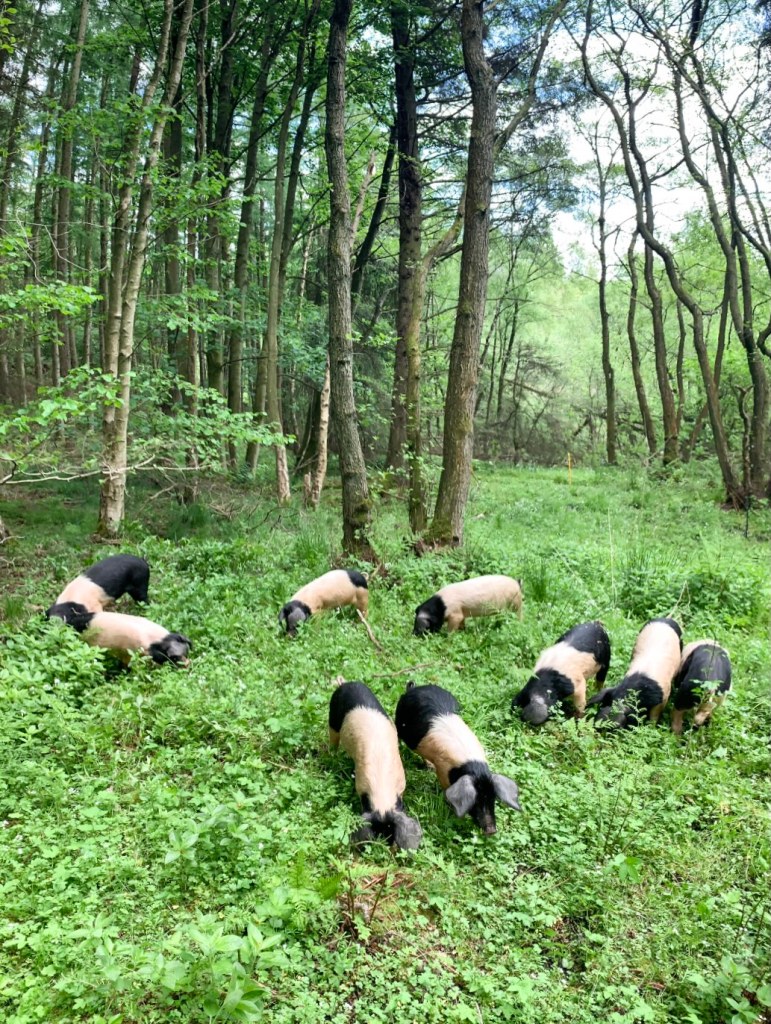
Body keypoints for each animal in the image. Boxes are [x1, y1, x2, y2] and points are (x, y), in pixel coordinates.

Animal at [394, 683, 521, 835]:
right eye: (475, 801)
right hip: (400, 723)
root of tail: (413, 688)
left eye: (493, 799)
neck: (472, 766)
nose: (491, 830)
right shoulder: (443, 769)